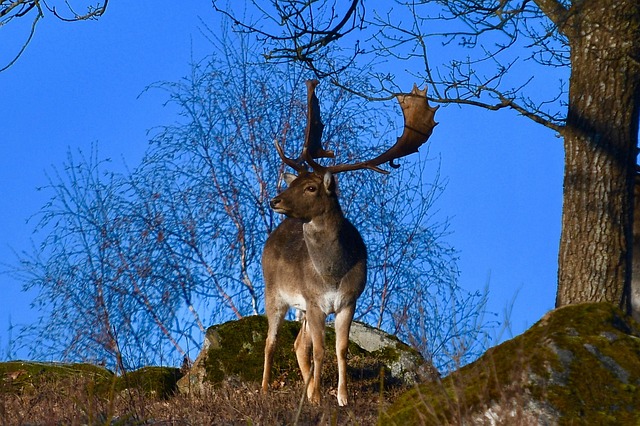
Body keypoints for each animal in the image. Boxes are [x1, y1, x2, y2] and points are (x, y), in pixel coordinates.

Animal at [262, 80, 438, 406]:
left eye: (310, 187)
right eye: (294, 183)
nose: (274, 200)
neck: (332, 272)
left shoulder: (349, 300)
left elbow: (339, 348)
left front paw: (341, 398)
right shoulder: (315, 301)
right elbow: (320, 350)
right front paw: (319, 397)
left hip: (299, 307)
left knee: (298, 344)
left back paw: (305, 389)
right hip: (274, 291)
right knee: (272, 340)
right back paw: (266, 388)